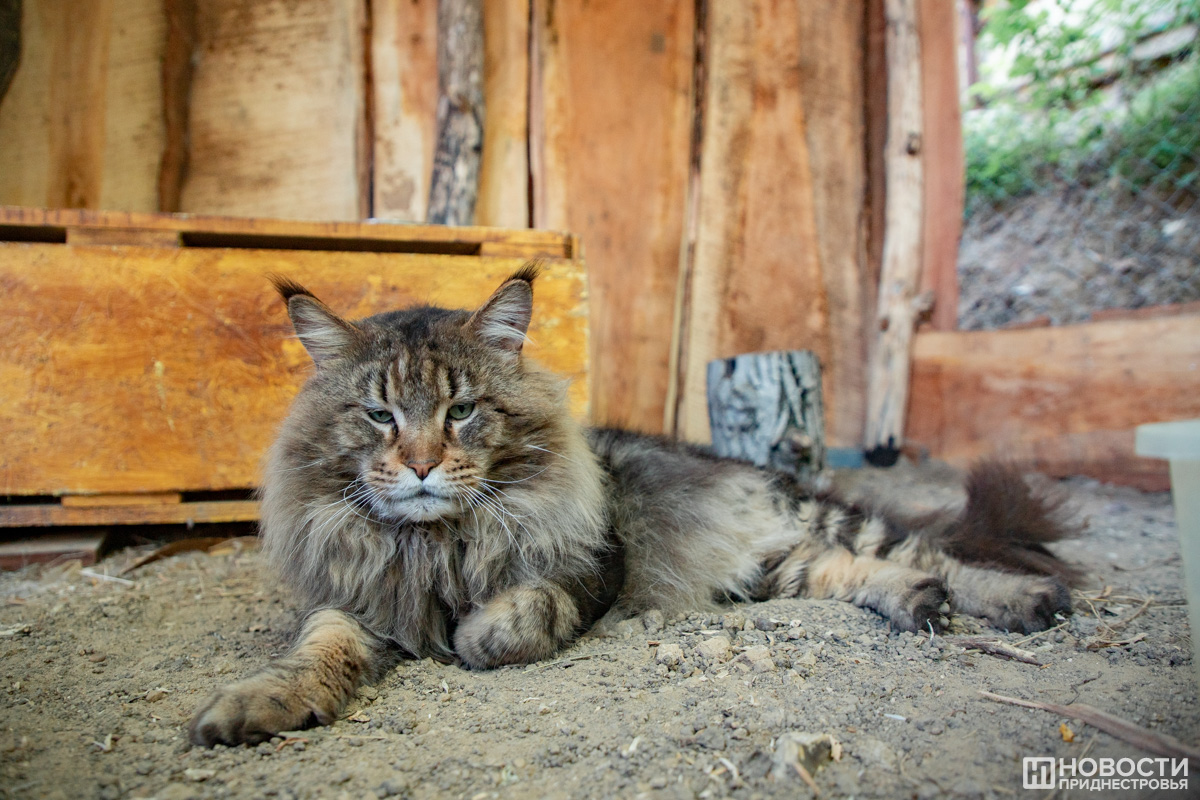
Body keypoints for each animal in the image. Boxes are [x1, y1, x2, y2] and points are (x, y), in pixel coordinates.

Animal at [187, 266, 1080, 748]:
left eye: (461, 410)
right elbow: (316, 650)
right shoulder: (357, 597)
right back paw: (914, 603)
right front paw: (255, 705)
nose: (420, 466)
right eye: (379, 415)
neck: (436, 544)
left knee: (929, 553)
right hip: (775, 569)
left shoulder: (592, 566)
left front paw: (474, 635)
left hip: (815, 520)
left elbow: (525, 610)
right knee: (850, 573)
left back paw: (1025, 601)